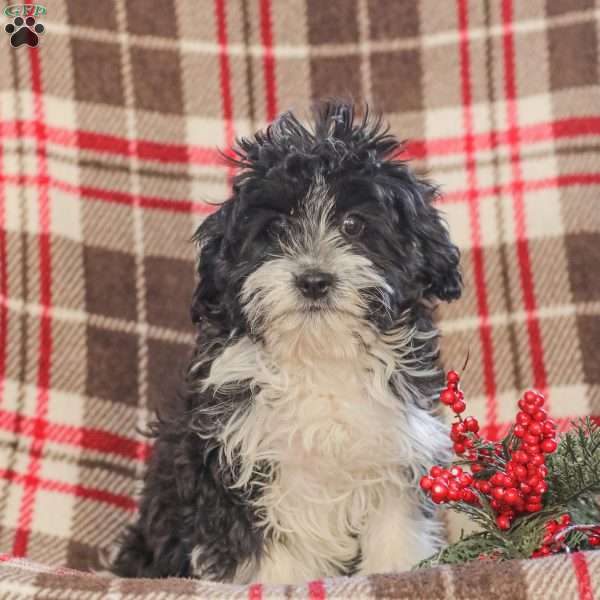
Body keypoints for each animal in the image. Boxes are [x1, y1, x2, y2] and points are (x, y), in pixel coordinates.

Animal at [110, 101, 462, 584]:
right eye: (276, 227)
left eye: (353, 224)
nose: (313, 281)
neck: (319, 355)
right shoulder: (240, 470)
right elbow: (271, 557)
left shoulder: (396, 454)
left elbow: (396, 536)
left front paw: (399, 572)